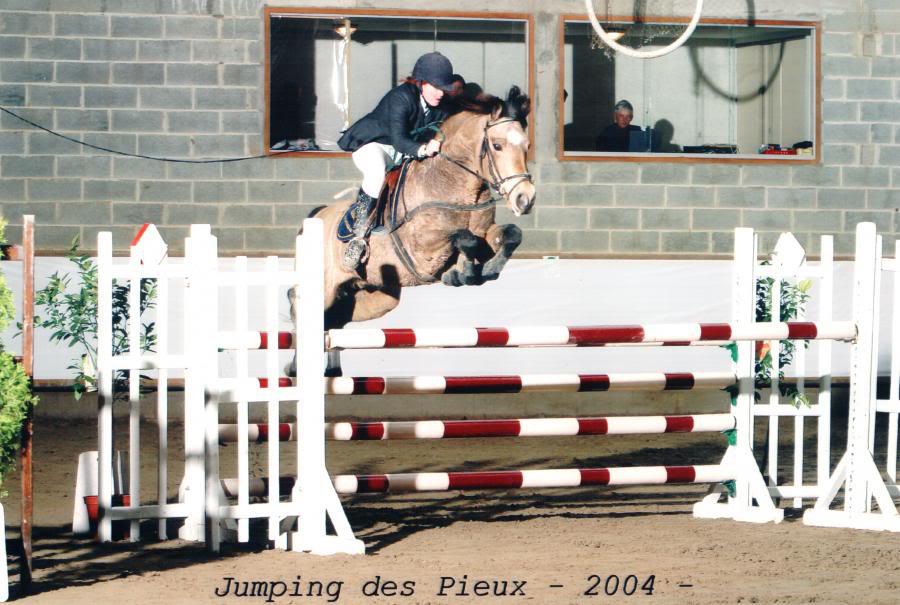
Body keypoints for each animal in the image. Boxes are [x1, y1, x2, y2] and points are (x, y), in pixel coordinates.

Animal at [293, 86, 536, 340]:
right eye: (497, 146)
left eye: (527, 146)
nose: (525, 198)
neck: (455, 185)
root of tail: (316, 216)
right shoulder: (422, 251)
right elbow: (463, 238)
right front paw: (465, 272)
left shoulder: (485, 232)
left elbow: (510, 234)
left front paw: (487, 269)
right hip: (324, 287)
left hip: (375, 296)